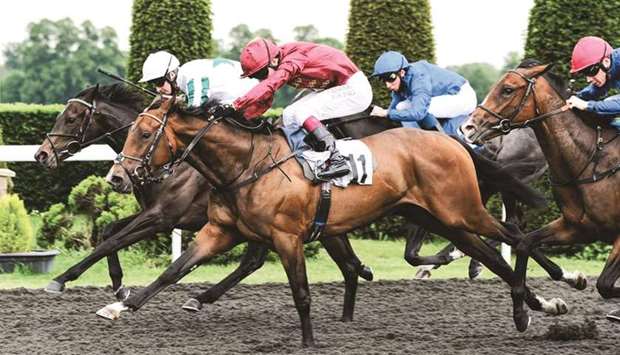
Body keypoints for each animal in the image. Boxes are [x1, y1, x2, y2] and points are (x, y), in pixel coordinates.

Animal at [98, 95, 560, 348]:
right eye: (130, 130)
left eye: (144, 134)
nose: (117, 176)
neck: (245, 166)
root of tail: (449, 140)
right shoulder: (220, 231)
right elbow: (173, 271)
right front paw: (119, 305)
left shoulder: (287, 237)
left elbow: (301, 293)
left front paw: (308, 340)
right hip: (440, 218)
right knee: (491, 255)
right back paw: (531, 308)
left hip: (461, 209)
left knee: (514, 235)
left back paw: (556, 285)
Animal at [460, 59, 620, 326]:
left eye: (507, 89)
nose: (467, 127)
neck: (591, 160)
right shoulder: (577, 227)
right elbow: (525, 243)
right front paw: (520, 313)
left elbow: (605, 285)